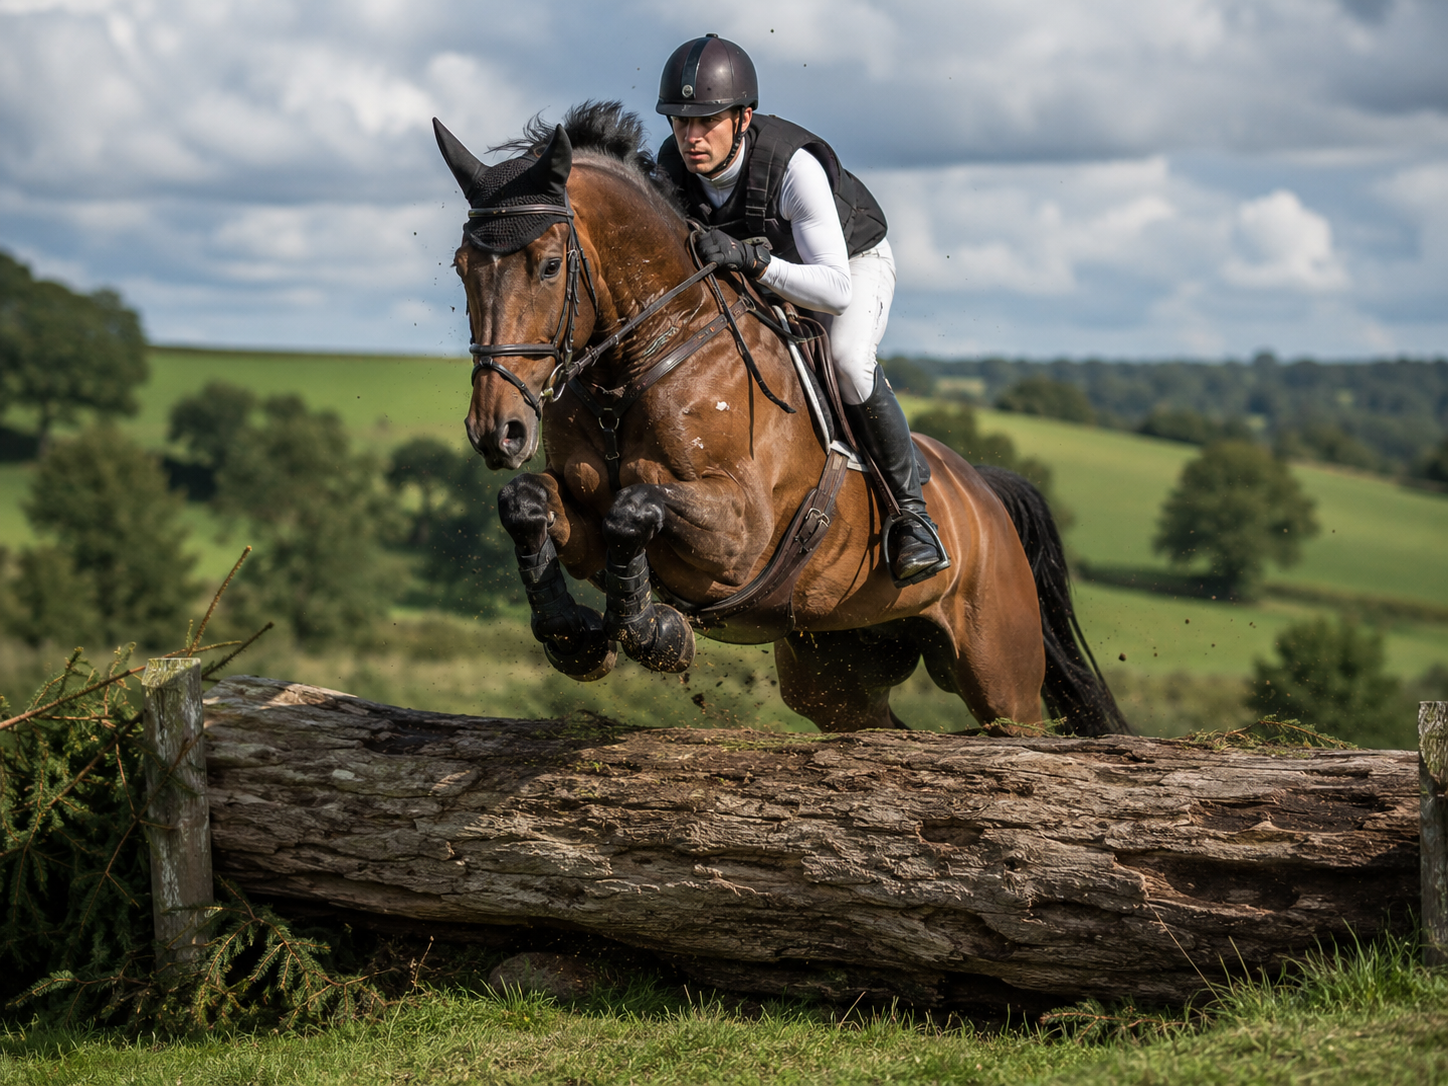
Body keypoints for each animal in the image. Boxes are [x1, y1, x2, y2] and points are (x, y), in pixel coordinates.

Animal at [436, 102, 1128, 736]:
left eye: (550, 265)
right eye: (461, 268)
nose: (497, 431)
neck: (649, 353)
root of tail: (984, 491)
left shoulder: (739, 534)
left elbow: (633, 508)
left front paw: (657, 632)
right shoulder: (581, 510)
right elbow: (527, 502)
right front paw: (572, 633)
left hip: (998, 672)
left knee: (1015, 725)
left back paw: (917, 542)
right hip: (834, 667)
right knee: (878, 728)